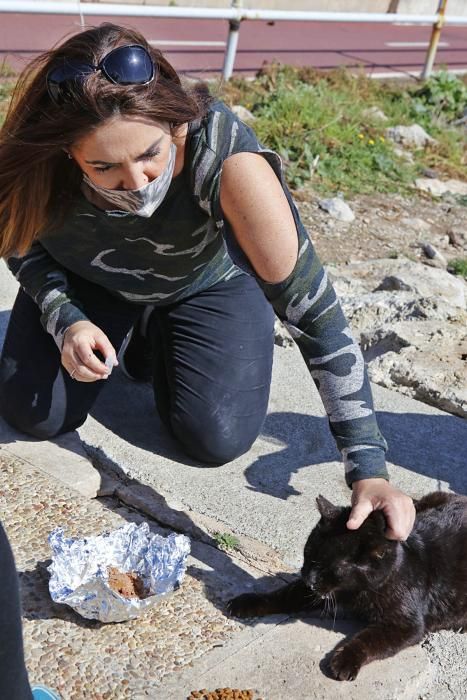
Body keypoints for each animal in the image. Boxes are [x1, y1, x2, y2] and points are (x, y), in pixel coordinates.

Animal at [228, 490, 467, 680]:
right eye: (308, 555)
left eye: (332, 568)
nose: (309, 579)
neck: (356, 594)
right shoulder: (316, 593)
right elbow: (283, 595)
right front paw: (247, 602)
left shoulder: (405, 624)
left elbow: (369, 639)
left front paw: (345, 660)